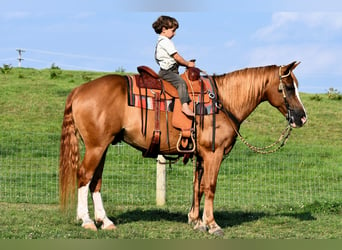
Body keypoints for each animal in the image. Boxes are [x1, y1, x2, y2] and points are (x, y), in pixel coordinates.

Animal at [58, 61, 308, 235]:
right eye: (288, 87)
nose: (302, 118)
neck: (223, 102)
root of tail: (79, 90)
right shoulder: (214, 153)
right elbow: (210, 187)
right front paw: (212, 224)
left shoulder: (201, 155)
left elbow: (198, 186)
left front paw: (196, 221)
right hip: (96, 146)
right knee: (84, 176)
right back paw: (87, 220)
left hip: (102, 147)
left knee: (96, 181)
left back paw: (105, 221)